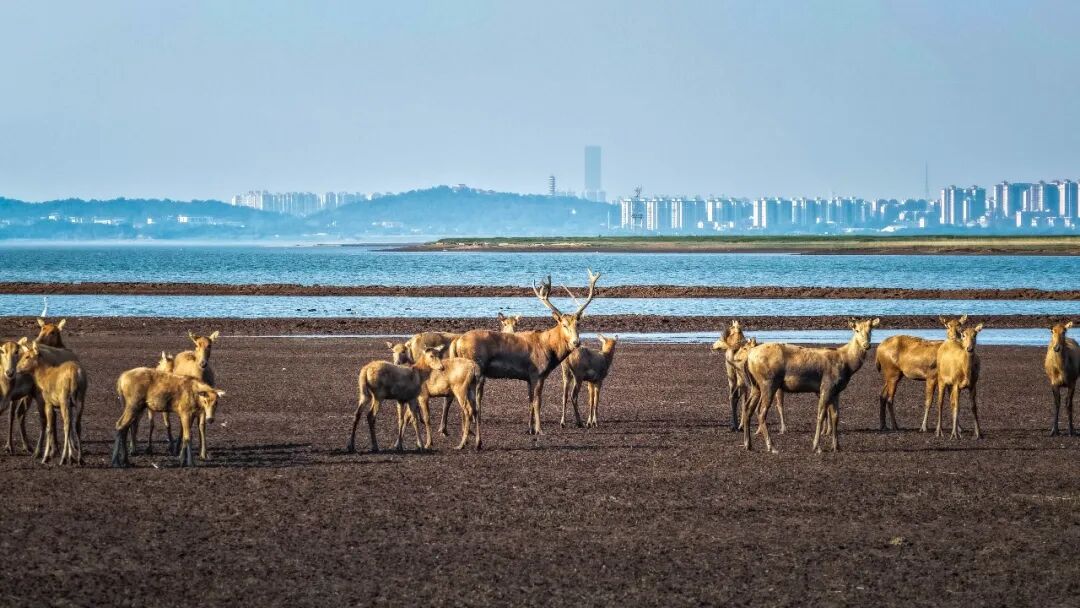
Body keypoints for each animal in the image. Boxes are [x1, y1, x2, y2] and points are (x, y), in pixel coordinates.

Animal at [451, 269, 601, 436]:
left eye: (578, 324)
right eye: (563, 324)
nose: (576, 342)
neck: (549, 349)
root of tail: (457, 342)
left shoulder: (529, 377)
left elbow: (530, 401)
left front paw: (530, 428)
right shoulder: (537, 373)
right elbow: (537, 401)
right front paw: (540, 429)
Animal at [744, 318, 879, 453]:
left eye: (870, 329)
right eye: (856, 330)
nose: (866, 345)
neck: (848, 365)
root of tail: (749, 358)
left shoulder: (836, 391)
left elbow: (836, 416)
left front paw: (837, 446)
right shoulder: (827, 385)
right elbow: (821, 415)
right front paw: (816, 446)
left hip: (755, 385)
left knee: (747, 408)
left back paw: (748, 444)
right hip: (768, 382)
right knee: (761, 413)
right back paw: (771, 446)